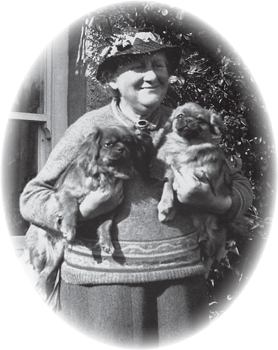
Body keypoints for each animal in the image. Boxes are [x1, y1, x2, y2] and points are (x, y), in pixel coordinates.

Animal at [25, 124, 149, 300]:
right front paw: (69, 229)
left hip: (57, 254)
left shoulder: (110, 208)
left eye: (128, 143)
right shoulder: (66, 194)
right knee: (40, 272)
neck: (104, 173)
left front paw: (106, 243)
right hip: (41, 251)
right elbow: (72, 210)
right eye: (107, 144)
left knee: (46, 273)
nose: (121, 148)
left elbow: (106, 226)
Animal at [156, 102, 232, 274]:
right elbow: (168, 184)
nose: (188, 120)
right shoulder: (172, 169)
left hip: (216, 241)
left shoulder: (204, 174)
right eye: (180, 116)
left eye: (200, 120)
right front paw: (166, 207)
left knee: (210, 259)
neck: (187, 145)